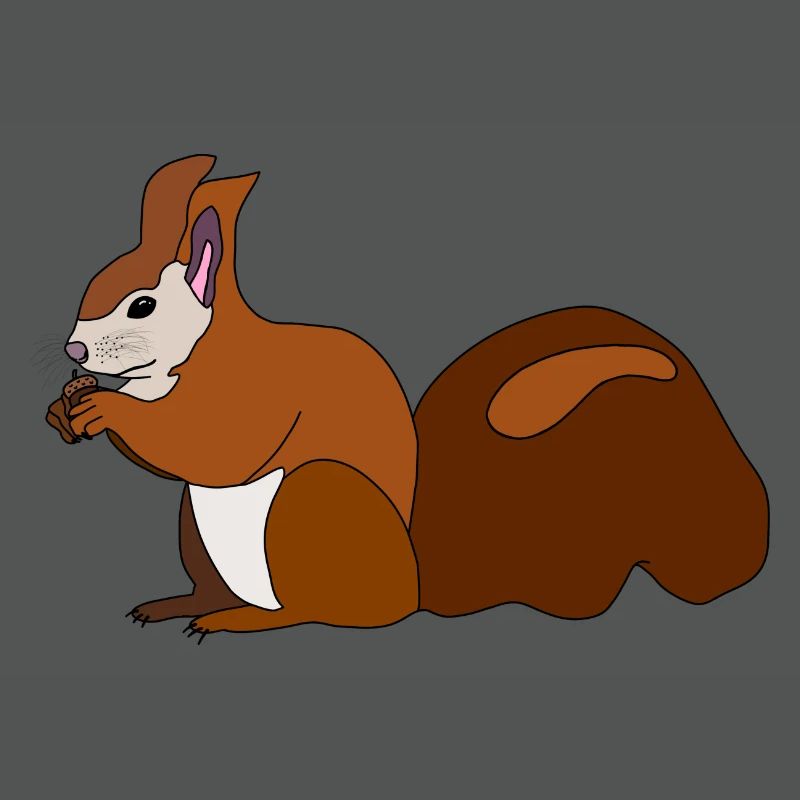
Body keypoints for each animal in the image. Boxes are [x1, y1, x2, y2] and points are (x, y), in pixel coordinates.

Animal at [46, 155, 769, 641]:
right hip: (196, 533)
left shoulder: (259, 390)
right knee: (219, 587)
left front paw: (104, 410)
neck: (178, 366)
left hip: (317, 501)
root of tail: (413, 592)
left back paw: (242, 622)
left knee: (325, 613)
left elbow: (218, 446)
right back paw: (186, 604)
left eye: (141, 305)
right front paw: (66, 407)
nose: (74, 352)